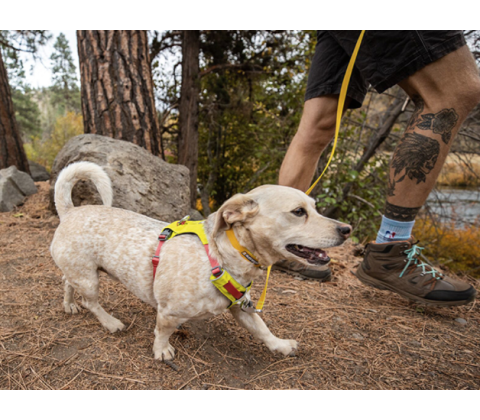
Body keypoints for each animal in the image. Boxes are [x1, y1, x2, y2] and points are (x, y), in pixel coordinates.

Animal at [50, 162, 350, 360]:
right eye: (299, 212)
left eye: (315, 207)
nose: (347, 229)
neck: (222, 256)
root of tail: (70, 211)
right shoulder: (168, 313)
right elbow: (162, 332)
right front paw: (162, 351)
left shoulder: (242, 308)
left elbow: (262, 329)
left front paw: (280, 345)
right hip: (89, 279)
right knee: (91, 302)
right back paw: (110, 322)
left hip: (79, 271)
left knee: (66, 282)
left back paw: (68, 305)